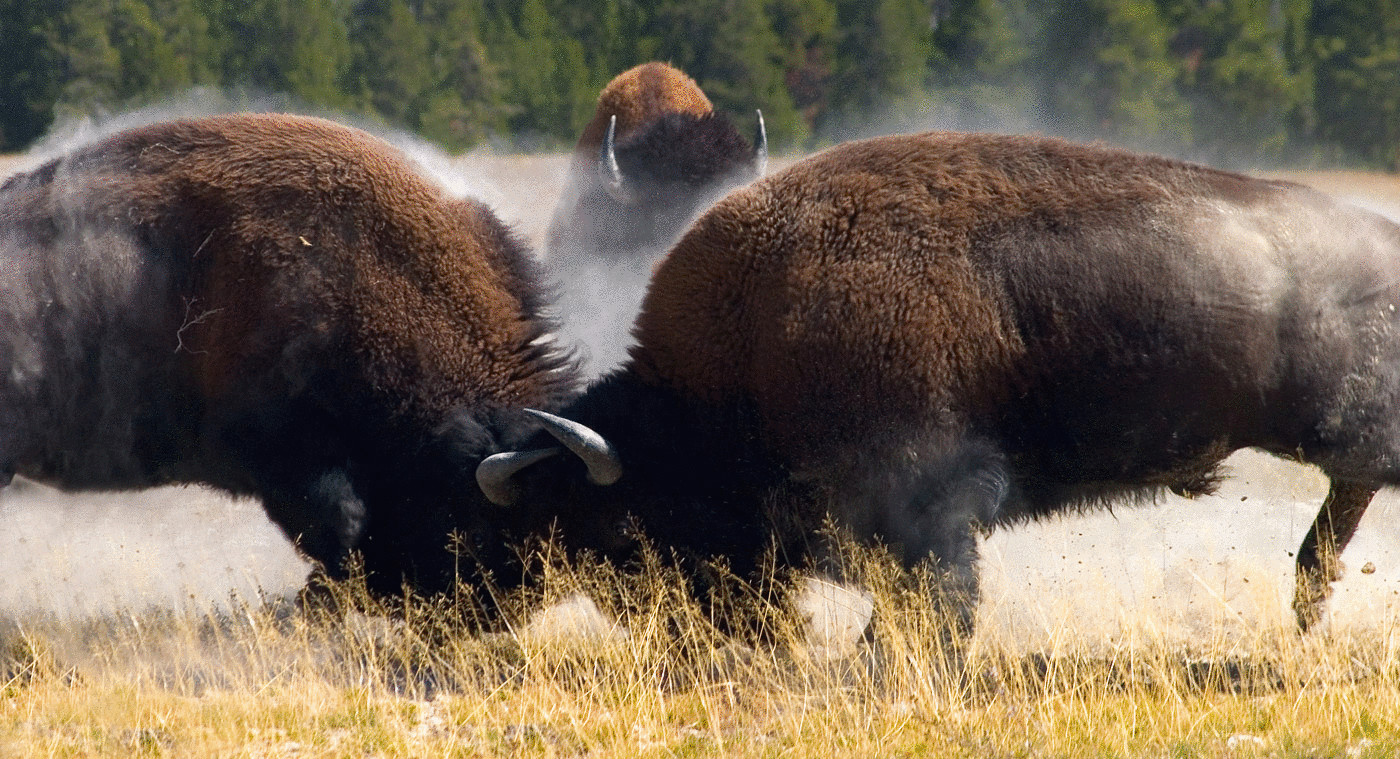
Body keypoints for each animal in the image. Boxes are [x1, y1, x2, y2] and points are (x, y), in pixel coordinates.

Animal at [478, 132, 1400, 635]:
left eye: (622, 526)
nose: (665, 623)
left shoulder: (931, 501)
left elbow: (934, 600)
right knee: (1339, 505)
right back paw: (1308, 599)